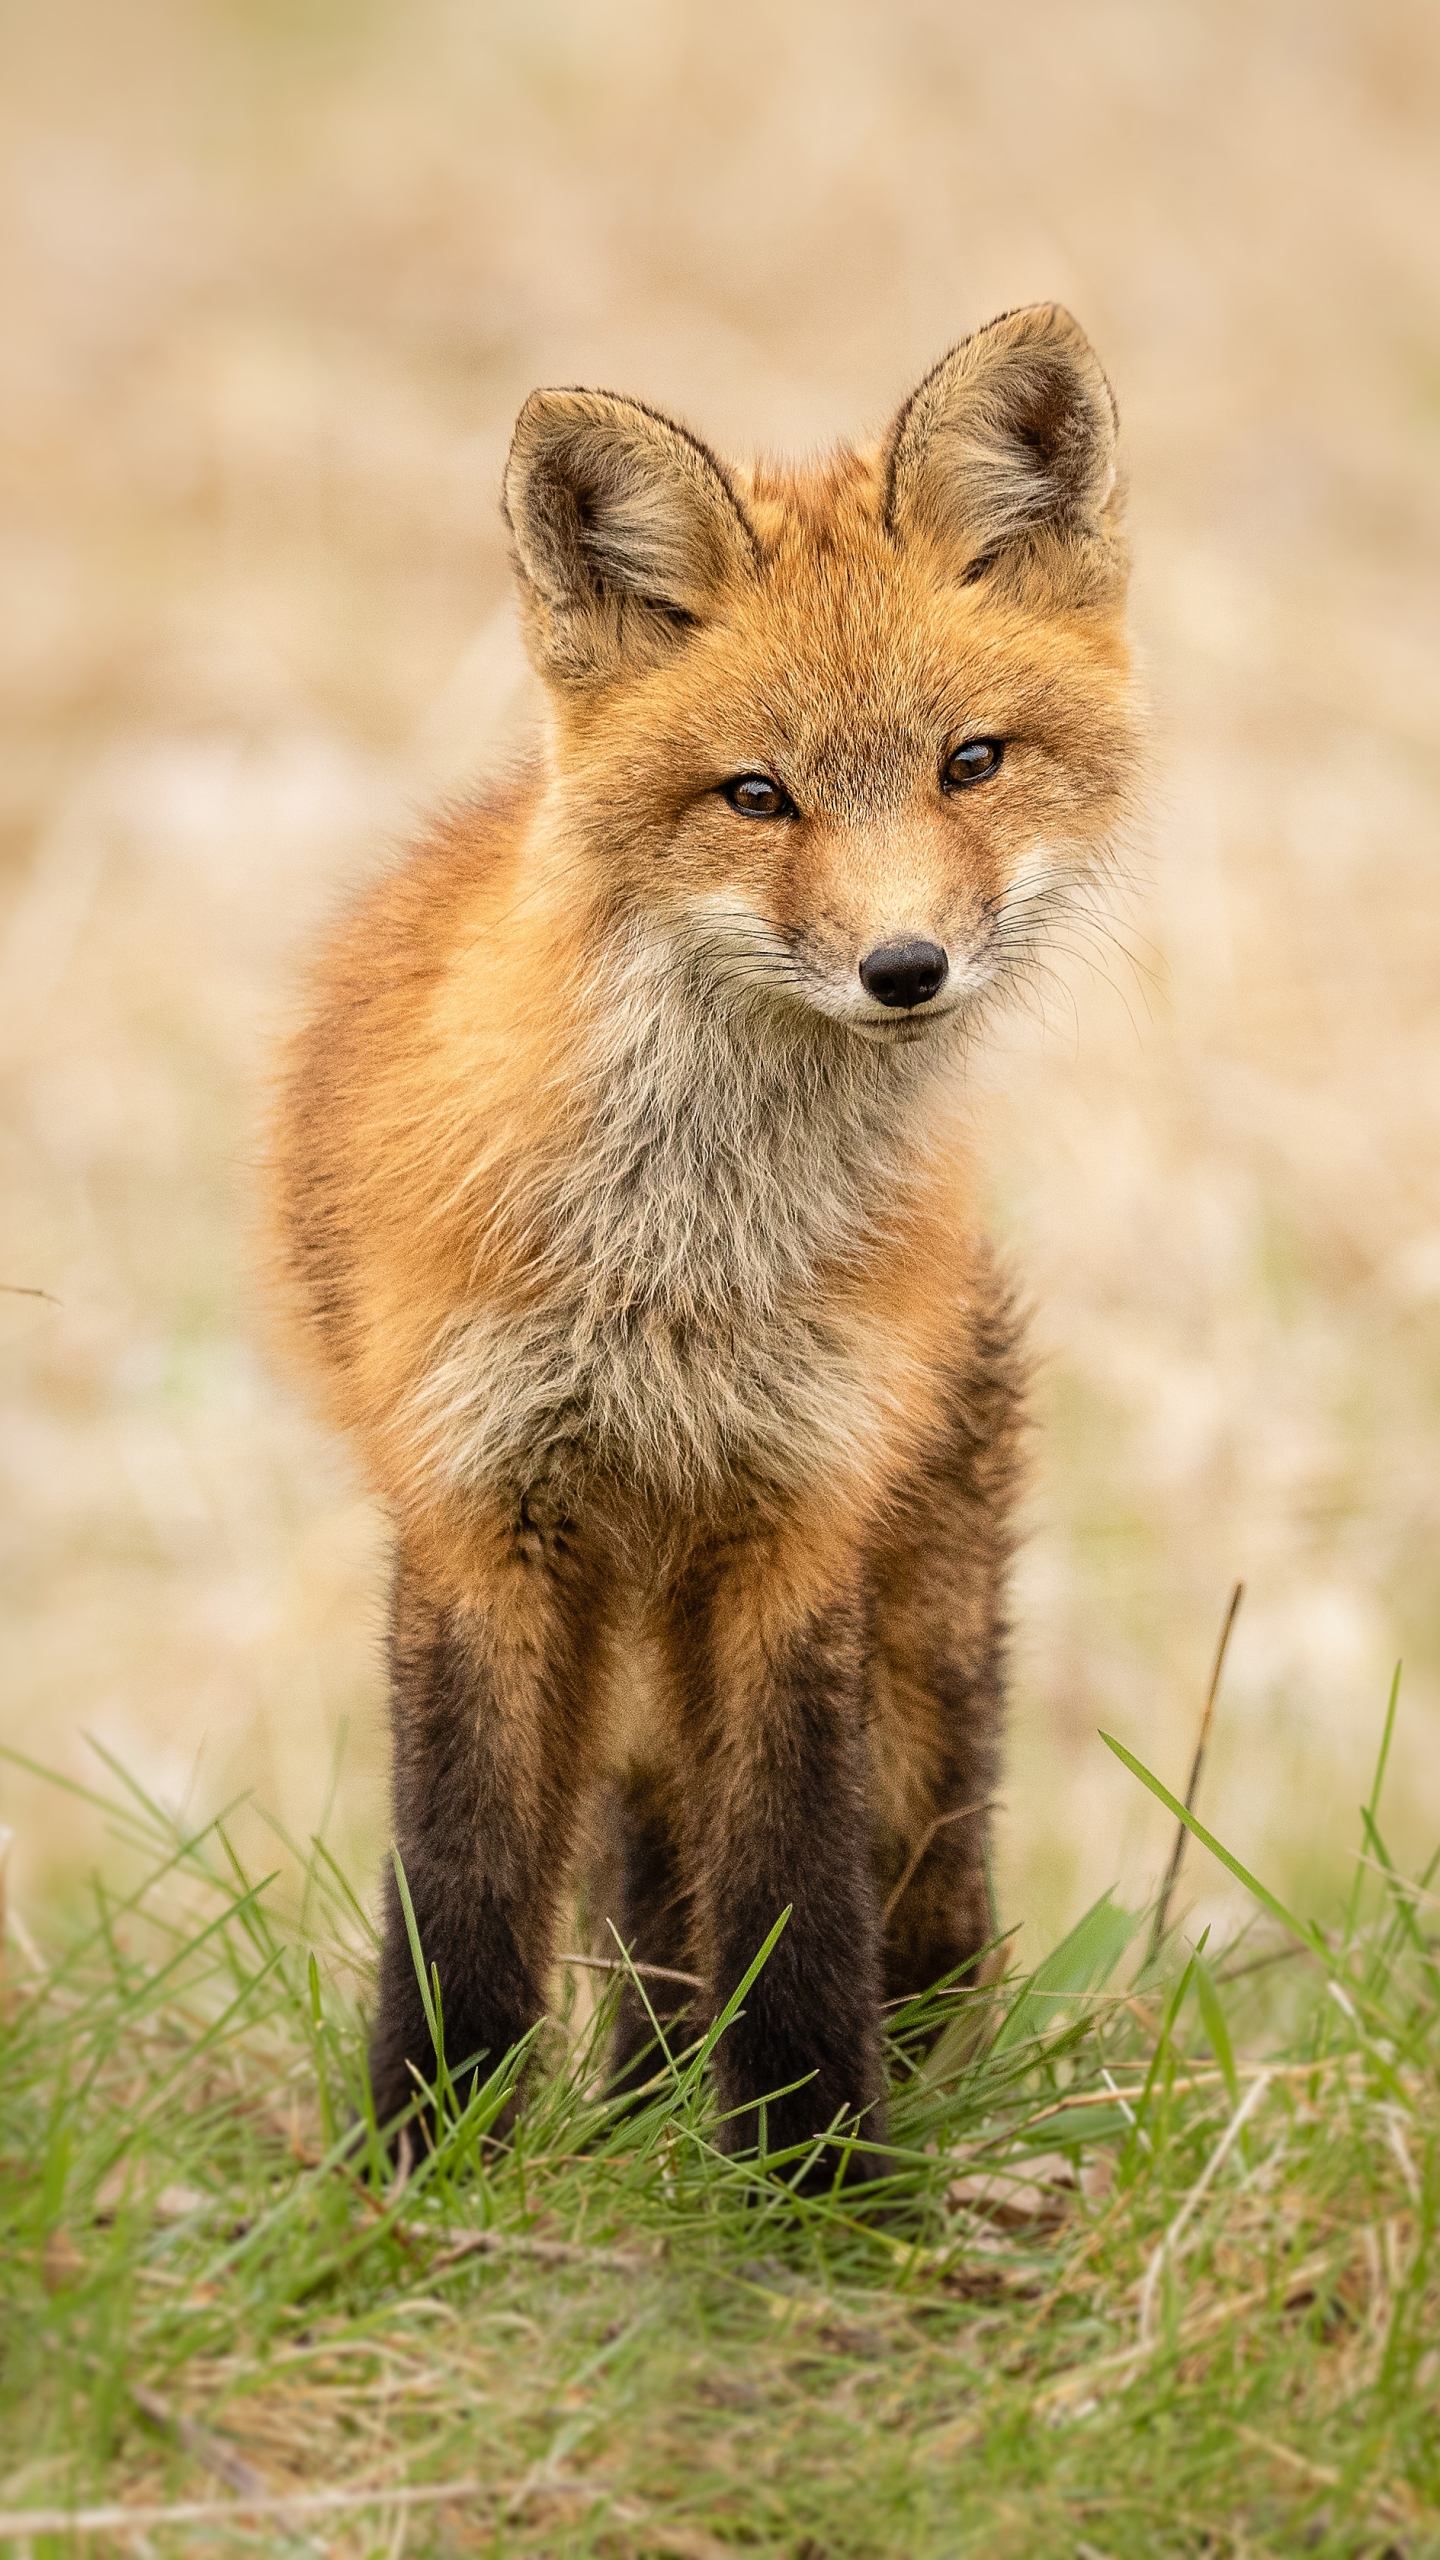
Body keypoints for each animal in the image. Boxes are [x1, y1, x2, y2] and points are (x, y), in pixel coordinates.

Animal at [263, 299, 1137, 2181]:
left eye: (971, 762)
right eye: (757, 796)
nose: (903, 970)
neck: (680, 1260)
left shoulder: (792, 1518)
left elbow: (795, 1893)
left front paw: (819, 2189)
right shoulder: (480, 1509)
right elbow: (460, 1885)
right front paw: (423, 2172)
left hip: (904, 1660)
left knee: (853, 1897)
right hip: (625, 1634)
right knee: (644, 1881)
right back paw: (641, 2113)